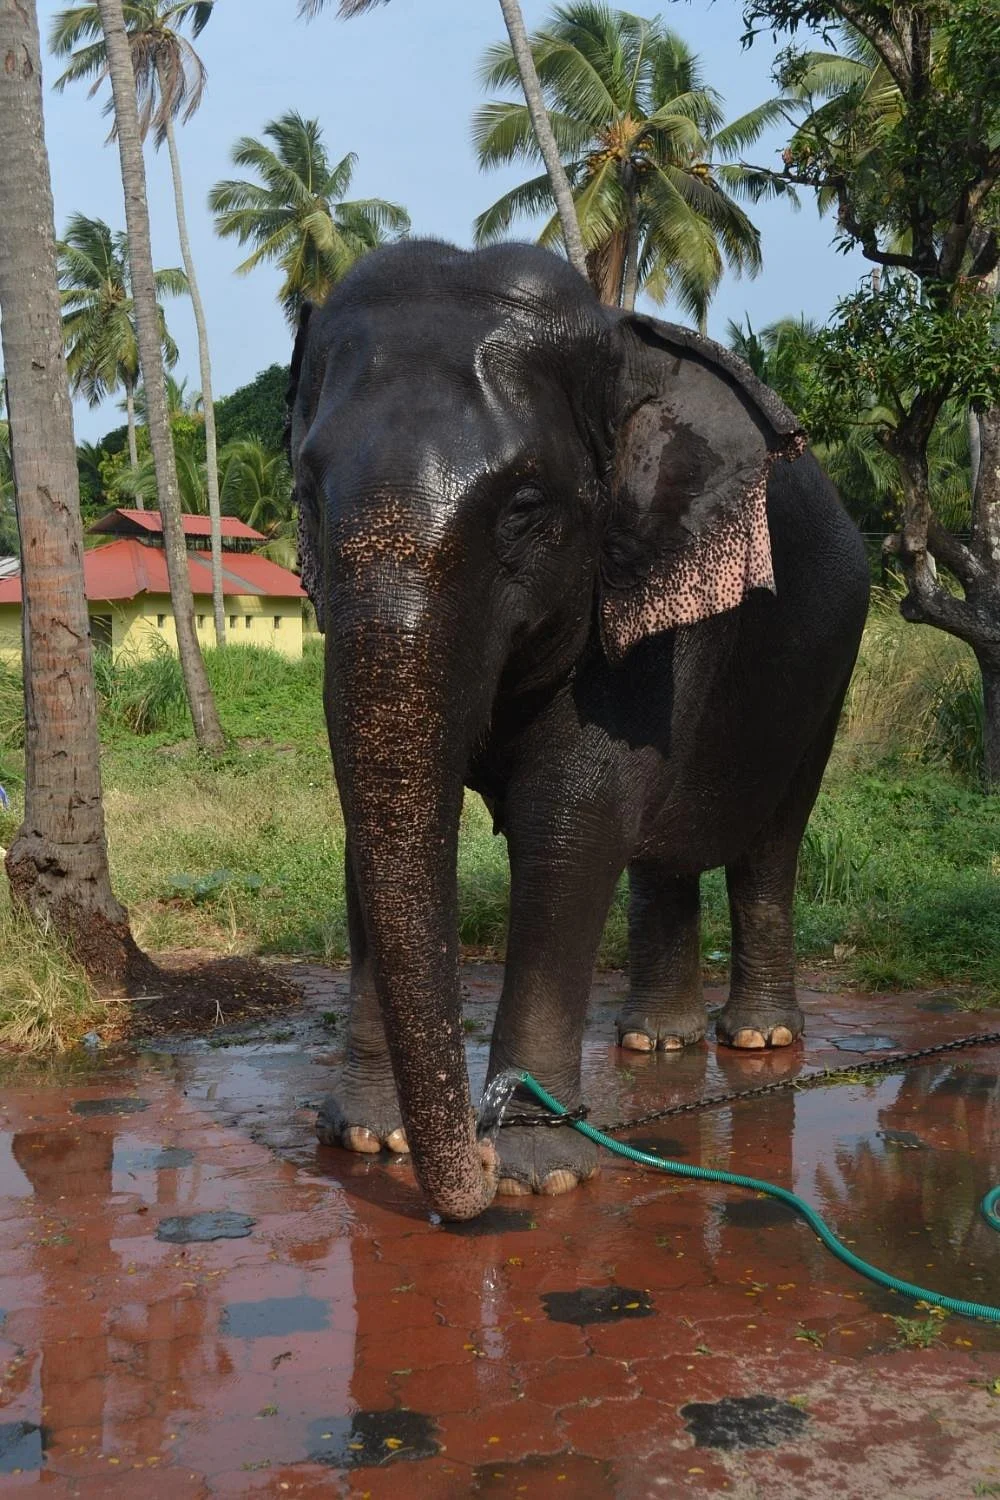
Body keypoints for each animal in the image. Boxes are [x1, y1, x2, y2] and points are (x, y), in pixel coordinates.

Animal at [287, 239, 870, 1221]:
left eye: (524, 506)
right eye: (307, 494)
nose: (477, 1154)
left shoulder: (655, 592)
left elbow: (569, 824)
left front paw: (538, 1173)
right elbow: (366, 831)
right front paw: (367, 1137)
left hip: (832, 659)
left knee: (771, 839)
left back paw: (756, 1040)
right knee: (665, 852)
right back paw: (657, 1043)